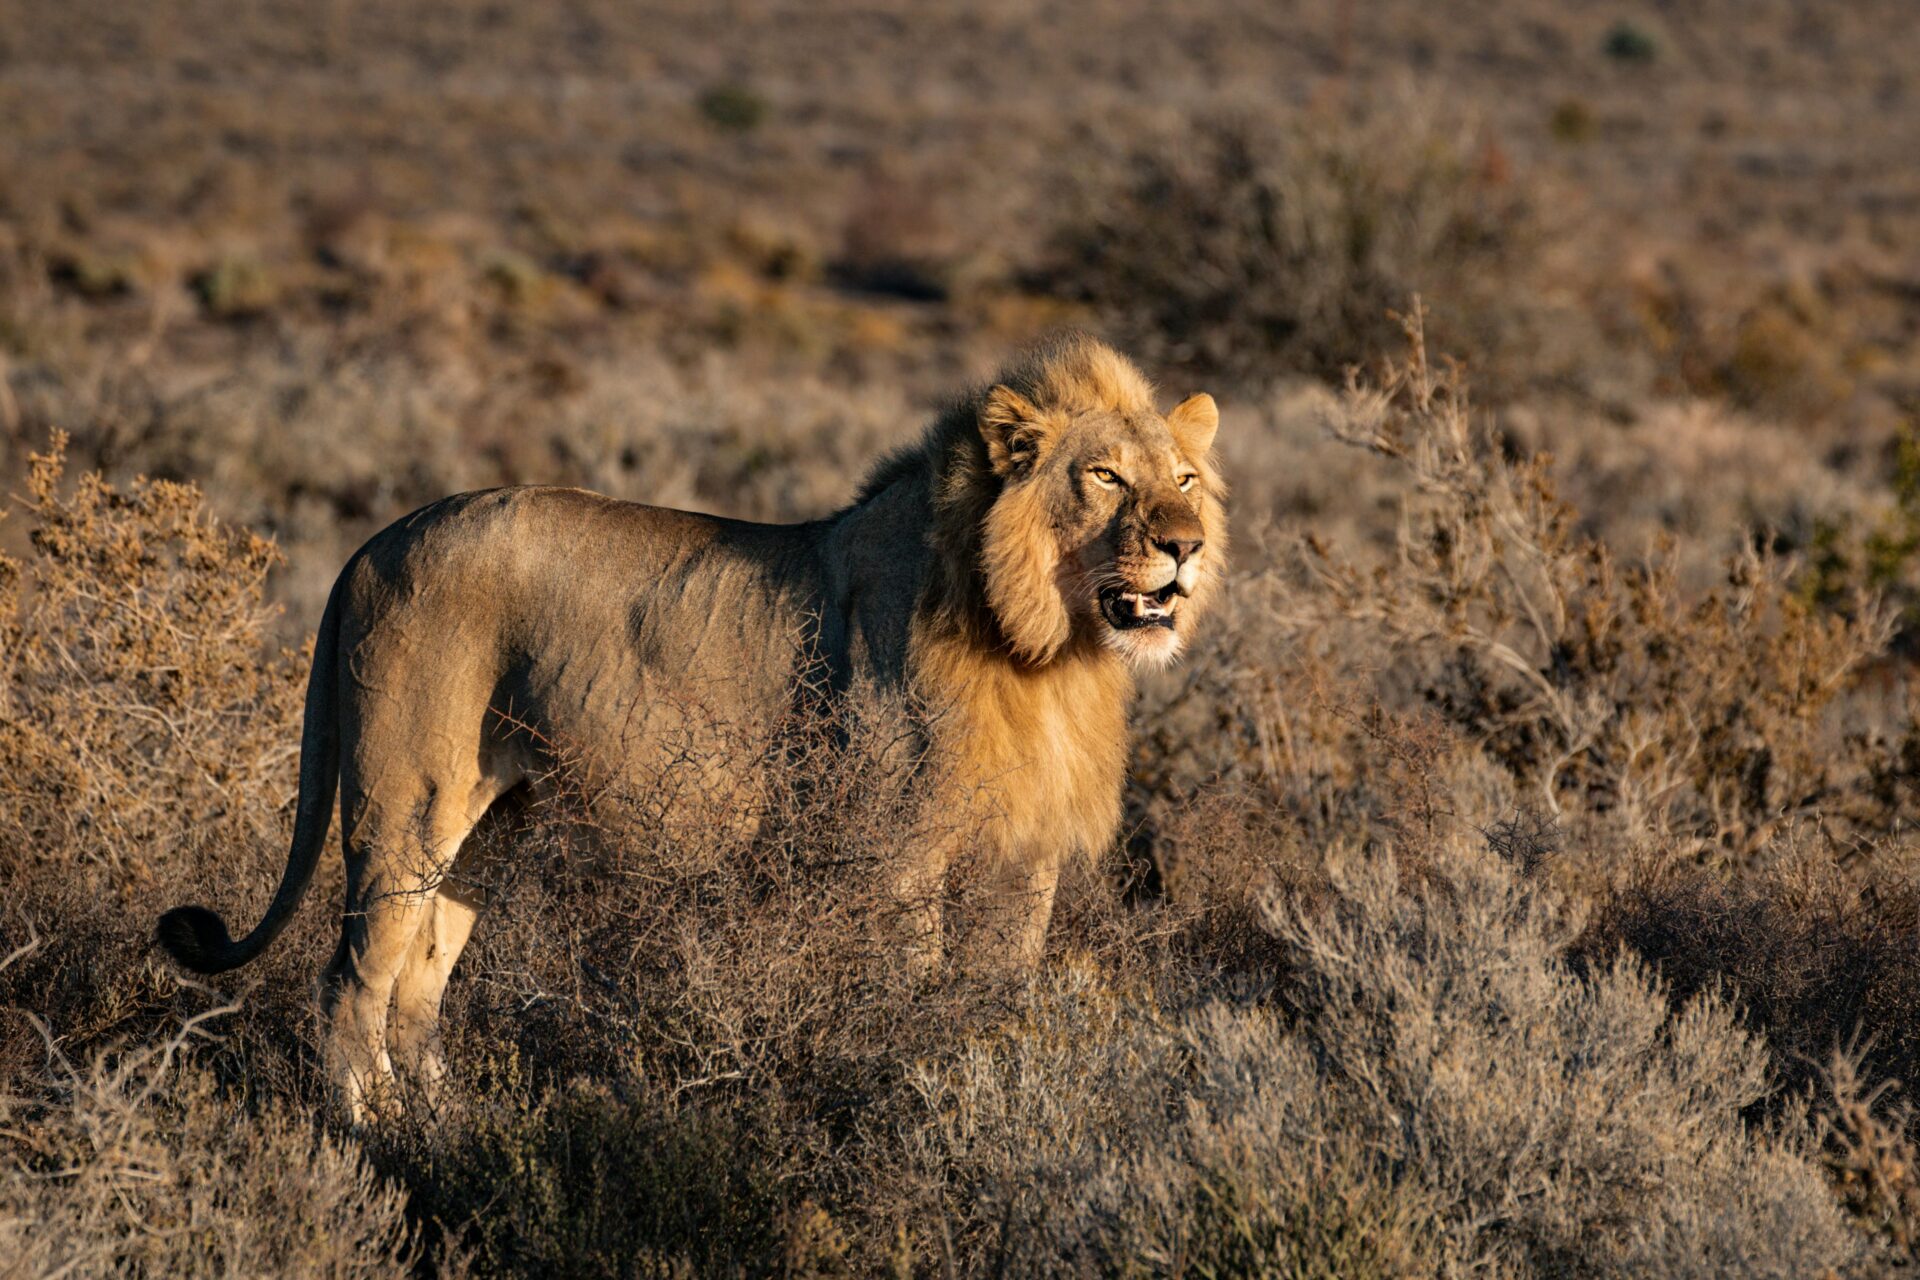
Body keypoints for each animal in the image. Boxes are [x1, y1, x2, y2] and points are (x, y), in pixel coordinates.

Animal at [157, 334, 1226, 1119]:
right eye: (1106, 478)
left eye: (1183, 478)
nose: (1186, 546)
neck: (1049, 651)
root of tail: (370, 545)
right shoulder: (898, 854)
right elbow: (913, 996)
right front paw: (915, 1092)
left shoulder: (1023, 858)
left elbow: (997, 997)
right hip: (404, 806)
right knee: (351, 981)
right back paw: (374, 1140)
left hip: (491, 828)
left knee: (419, 986)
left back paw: (449, 1127)